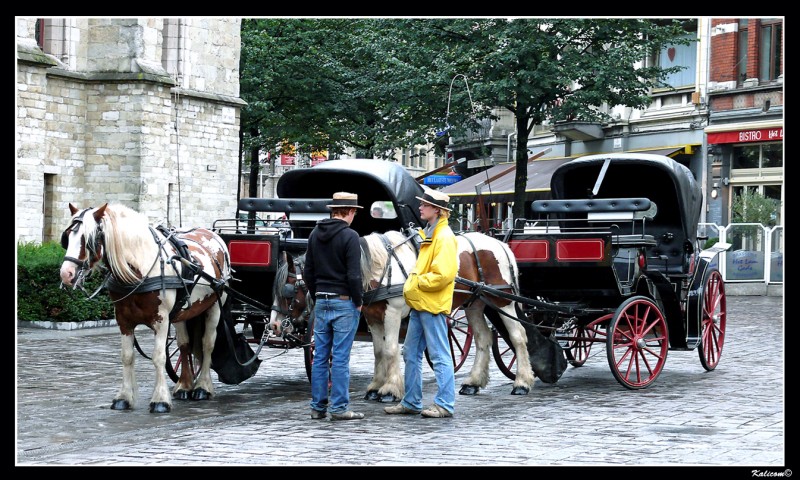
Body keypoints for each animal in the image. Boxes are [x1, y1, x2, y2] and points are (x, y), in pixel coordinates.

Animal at [59, 202, 231, 412]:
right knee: (184, 345)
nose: (66, 274)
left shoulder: (161, 319)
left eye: (89, 239)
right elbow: (127, 356)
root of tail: (213, 235)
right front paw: (124, 397)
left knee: (207, 344)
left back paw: (202, 387)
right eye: (67, 237)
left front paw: (160, 400)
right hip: (183, 313)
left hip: (215, 305)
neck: (139, 270)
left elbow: (159, 357)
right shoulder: (123, 320)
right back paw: (184, 385)